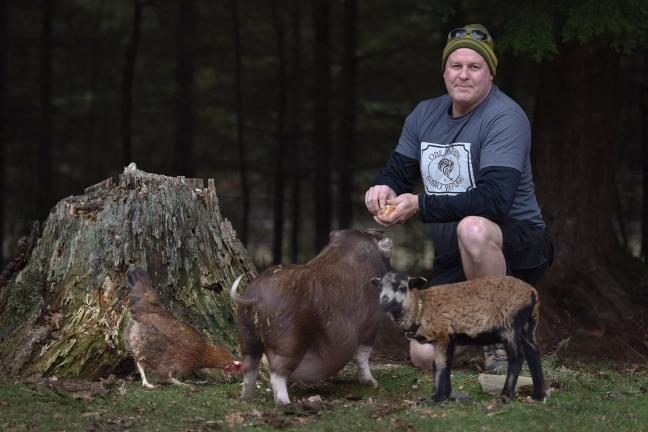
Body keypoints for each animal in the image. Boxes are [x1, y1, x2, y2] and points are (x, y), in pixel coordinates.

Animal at [374, 272, 548, 404]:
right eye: (380, 287)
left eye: (402, 288)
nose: (383, 299)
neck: (420, 308)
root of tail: (533, 293)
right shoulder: (449, 338)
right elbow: (443, 364)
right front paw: (445, 394)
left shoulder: (442, 335)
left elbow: (440, 364)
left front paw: (437, 397)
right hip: (528, 327)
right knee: (533, 354)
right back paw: (539, 395)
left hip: (510, 326)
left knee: (517, 358)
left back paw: (505, 396)